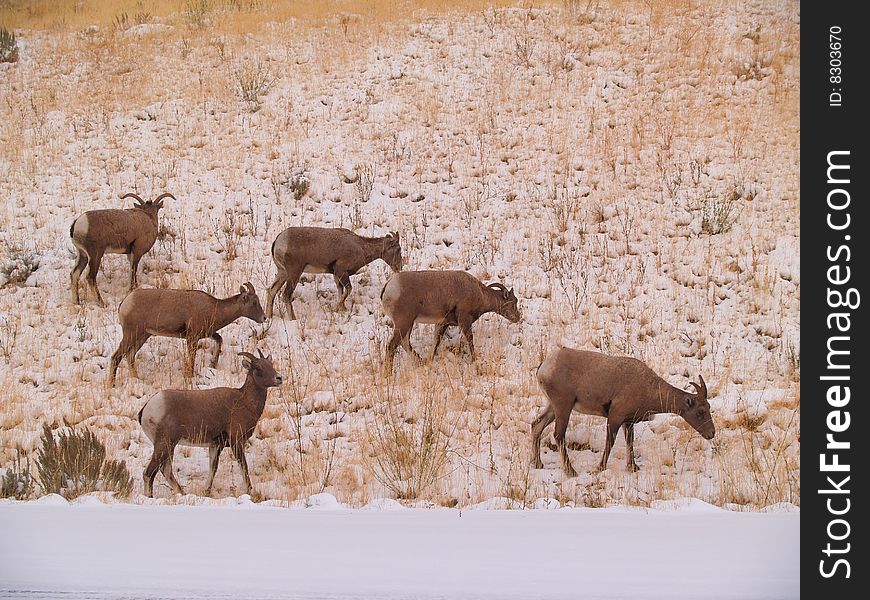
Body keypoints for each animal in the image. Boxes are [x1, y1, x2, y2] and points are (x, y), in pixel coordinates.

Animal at [110, 284, 266, 386]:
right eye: (254, 302)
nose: (264, 318)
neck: (214, 309)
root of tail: (125, 303)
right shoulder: (192, 337)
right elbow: (192, 358)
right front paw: (190, 376)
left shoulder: (207, 333)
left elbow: (219, 340)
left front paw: (213, 364)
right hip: (131, 334)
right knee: (116, 357)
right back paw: (111, 385)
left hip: (142, 335)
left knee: (130, 355)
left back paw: (137, 379)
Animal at [136, 346, 284, 496]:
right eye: (258, 367)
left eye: (270, 364)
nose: (279, 378)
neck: (244, 401)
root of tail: (147, 408)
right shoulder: (236, 441)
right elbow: (244, 467)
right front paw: (249, 491)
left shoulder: (215, 445)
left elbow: (213, 468)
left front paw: (206, 491)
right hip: (163, 444)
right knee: (149, 473)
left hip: (169, 446)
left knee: (165, 470)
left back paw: (182, 493)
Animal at [266, 229, 406, 322]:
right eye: (398, 249)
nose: (399, 267)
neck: (361, 248)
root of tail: (278, 242)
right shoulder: (341, 272)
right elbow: (348, 290)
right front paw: (338, 307)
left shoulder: (336, 275)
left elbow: (341, 291)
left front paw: (341, 310)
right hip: (294, 273)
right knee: (286, 295)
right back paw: (293, 319)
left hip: (282, 272)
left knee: (271, 290)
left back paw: (269, 316)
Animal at [380, 270, 516, 366]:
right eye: (514, 302)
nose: (517, 318)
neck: (480, 295)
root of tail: (388, 286)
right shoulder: (464, 320)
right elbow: (470, 341)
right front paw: (474, 361)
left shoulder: (442, 324)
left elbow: (436, 343)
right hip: (403, 322)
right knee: (391, 346)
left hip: (408, 324)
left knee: (404, 344)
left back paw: (421, 362)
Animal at [532, 346, 716, 478]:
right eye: (700, 412)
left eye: (709, 408)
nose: (712, 433)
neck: (648, 390)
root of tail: (543, 368)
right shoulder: (615, 416)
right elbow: (610, 443)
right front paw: (599, 468)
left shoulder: (628, 421)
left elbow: (630, 442)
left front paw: (633, 467)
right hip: (563, 405)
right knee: (558, 434)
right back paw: (571, 471)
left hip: (552, 406)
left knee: (536, 425)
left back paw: (538, 464)